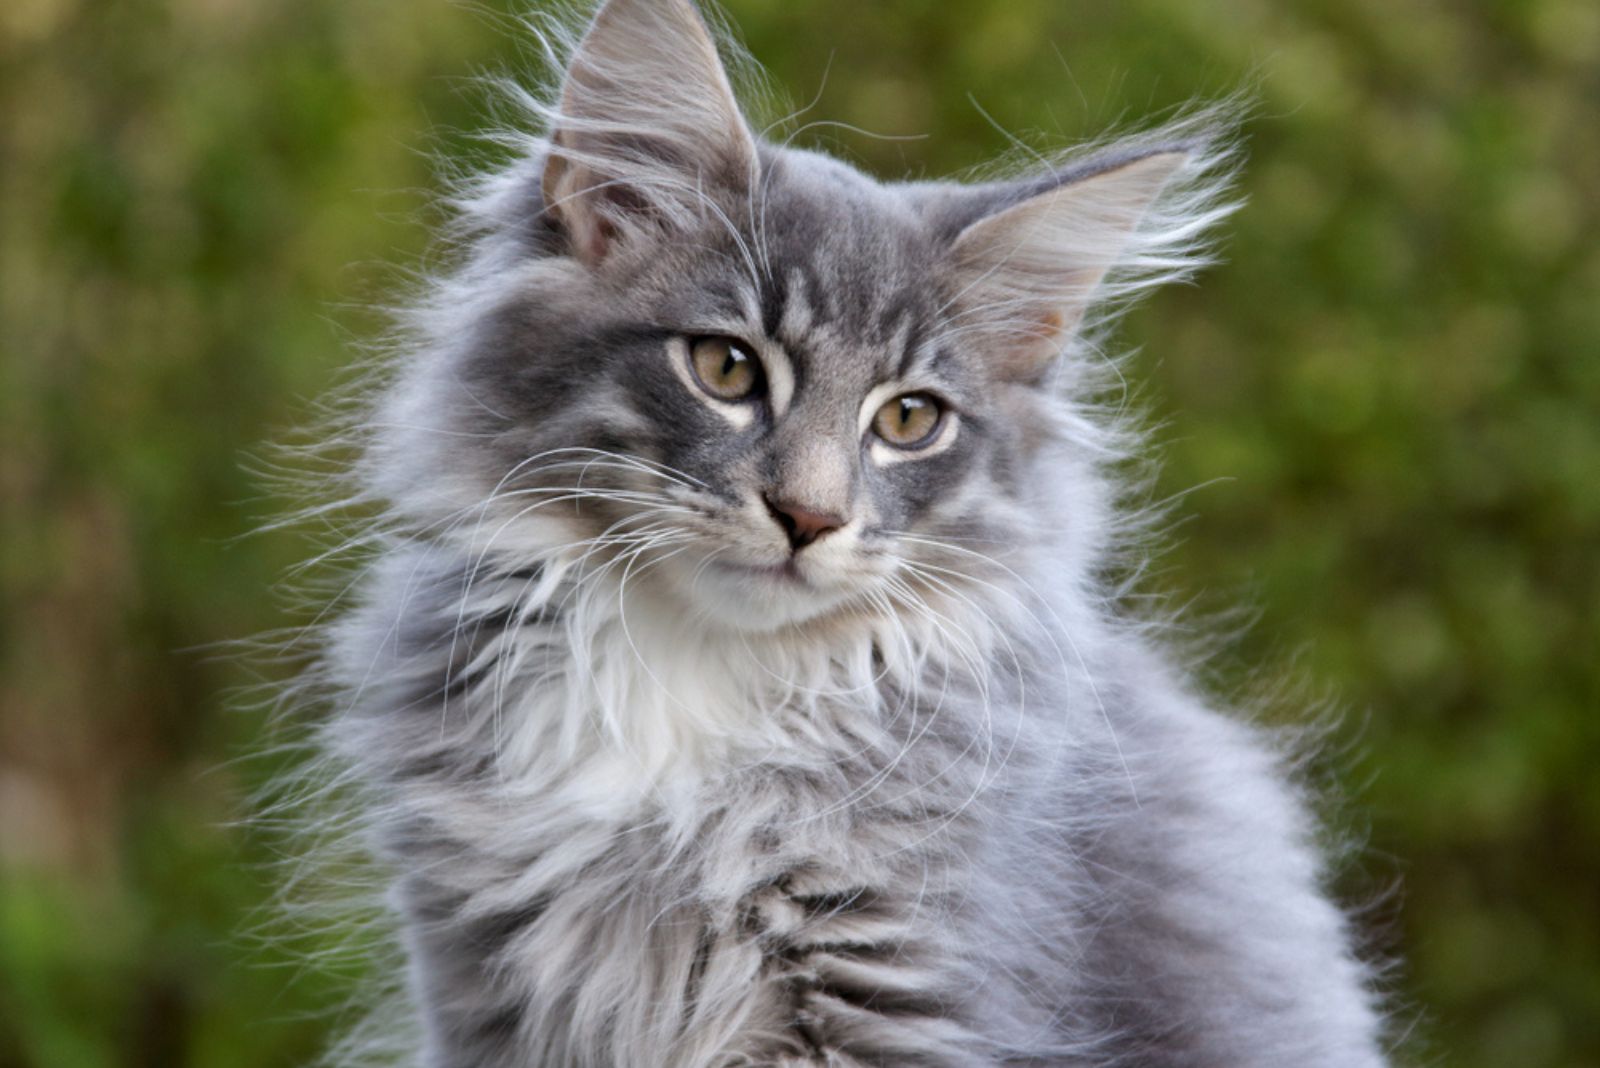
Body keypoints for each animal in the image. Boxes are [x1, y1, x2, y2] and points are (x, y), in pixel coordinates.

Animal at [297, 0, 1388, 1061]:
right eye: (726, 368)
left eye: (908, 420)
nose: (809, 516)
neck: (693, 679)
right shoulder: (478, 976)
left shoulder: (904, 982)